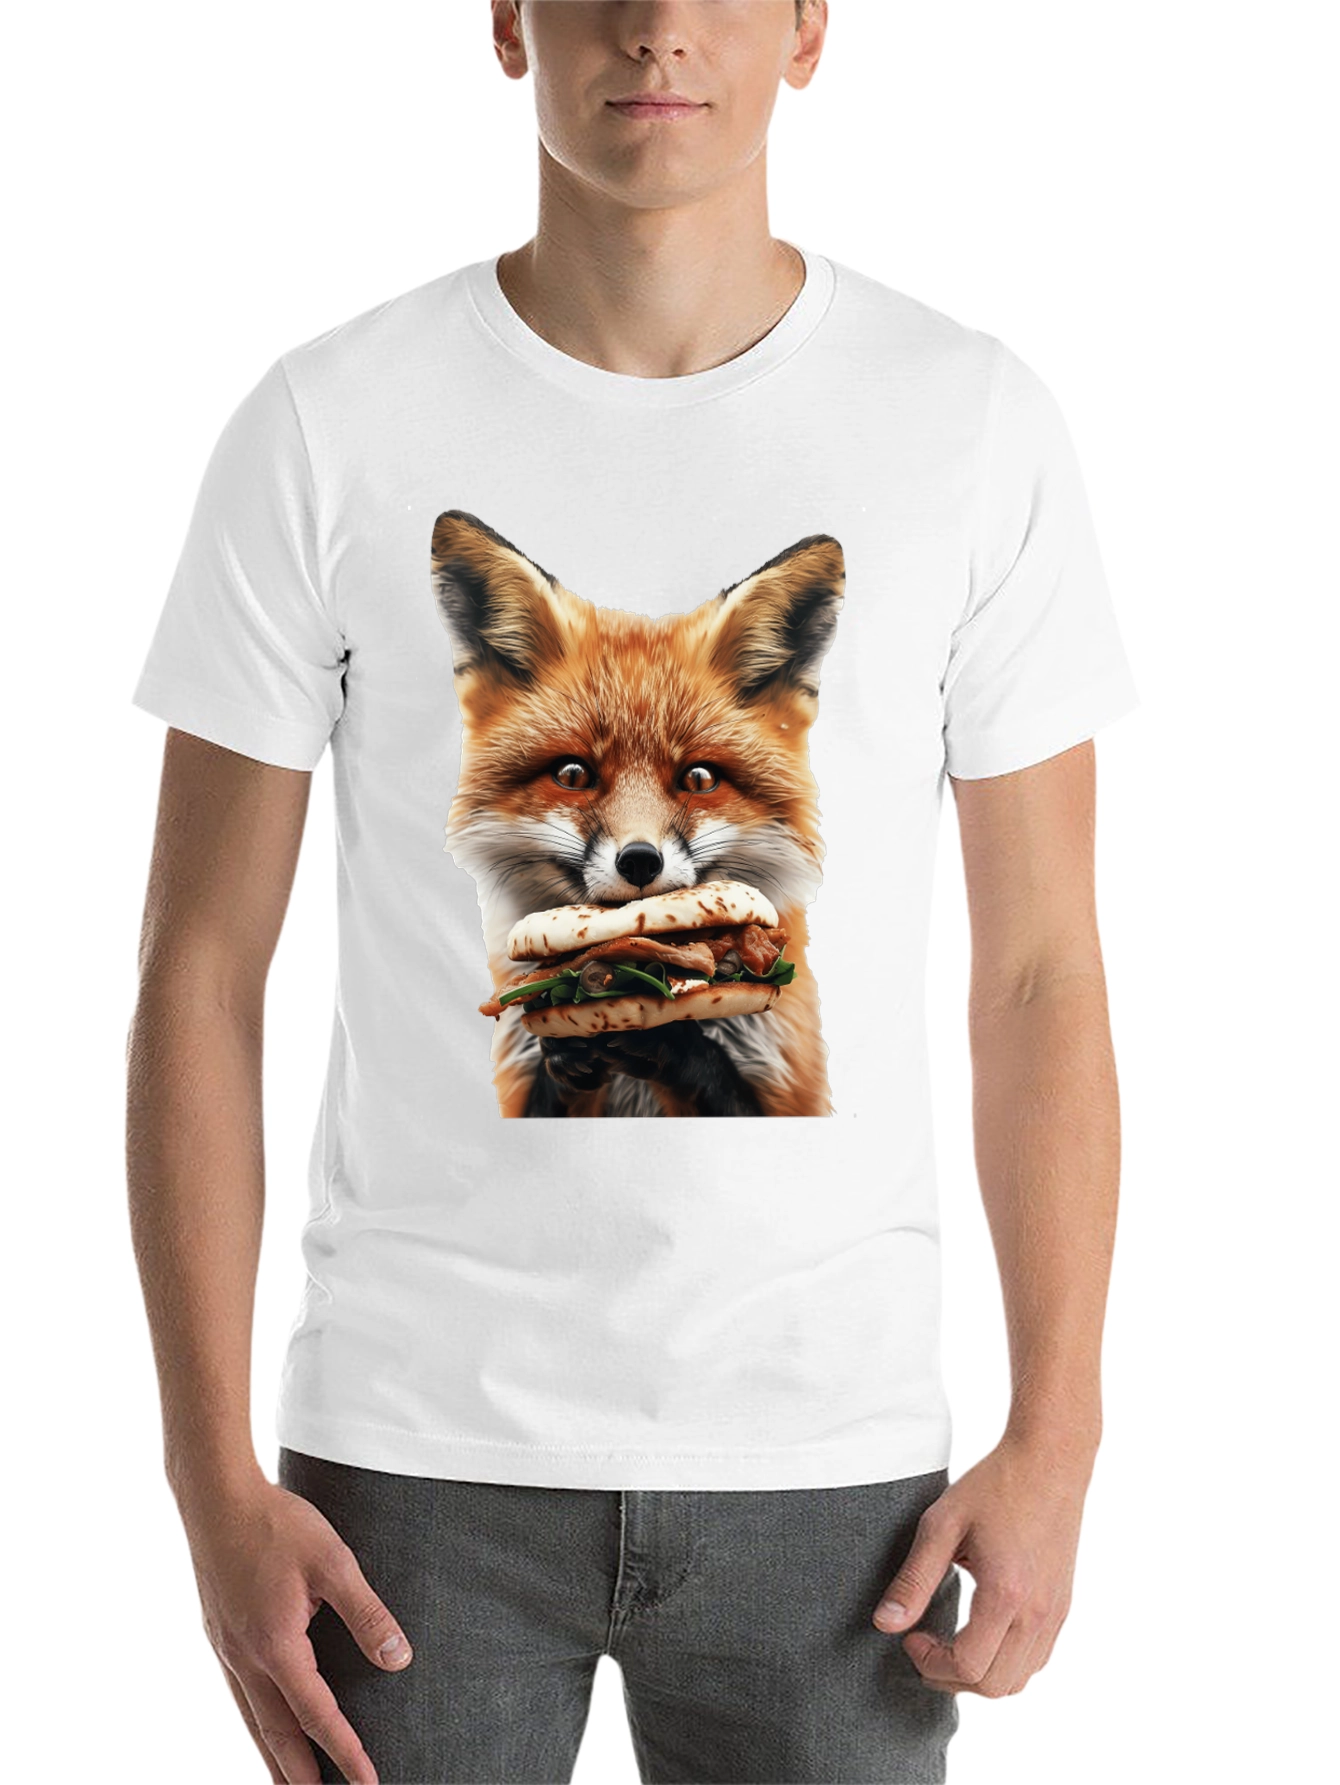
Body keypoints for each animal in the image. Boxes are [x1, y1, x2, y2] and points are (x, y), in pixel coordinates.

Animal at [429, 509, 845, 1118]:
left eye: (699, 779)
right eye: (572, 774)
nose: (641, 861)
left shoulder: (787, 1096)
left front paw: (672, 1041)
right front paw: (571, 1049)